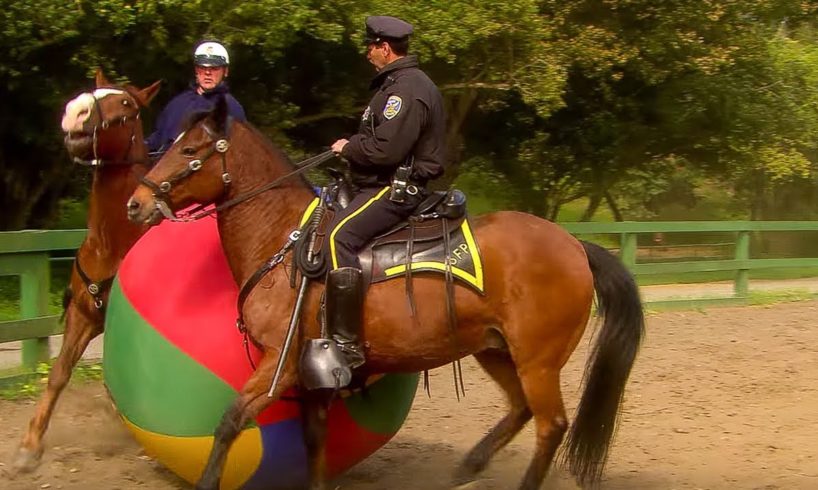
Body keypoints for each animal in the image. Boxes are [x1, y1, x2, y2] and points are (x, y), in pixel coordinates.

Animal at [12, 70, 159, 470]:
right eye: (93, 92)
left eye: (126, 103)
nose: (74, 111)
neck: (112, 243)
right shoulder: (83, 314)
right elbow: (59, 373)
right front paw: (30, 446)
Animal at [124, 97, 640, 488]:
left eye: (191, 149)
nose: (136, 203)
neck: (284, 240)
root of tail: (574, 245)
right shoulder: (312, 376)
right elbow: (315, 440)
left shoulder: (280, 364)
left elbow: (230, 423)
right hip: (496, 350)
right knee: (521, 411)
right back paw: (468, 466)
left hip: (538, 361)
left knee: (551, 425)